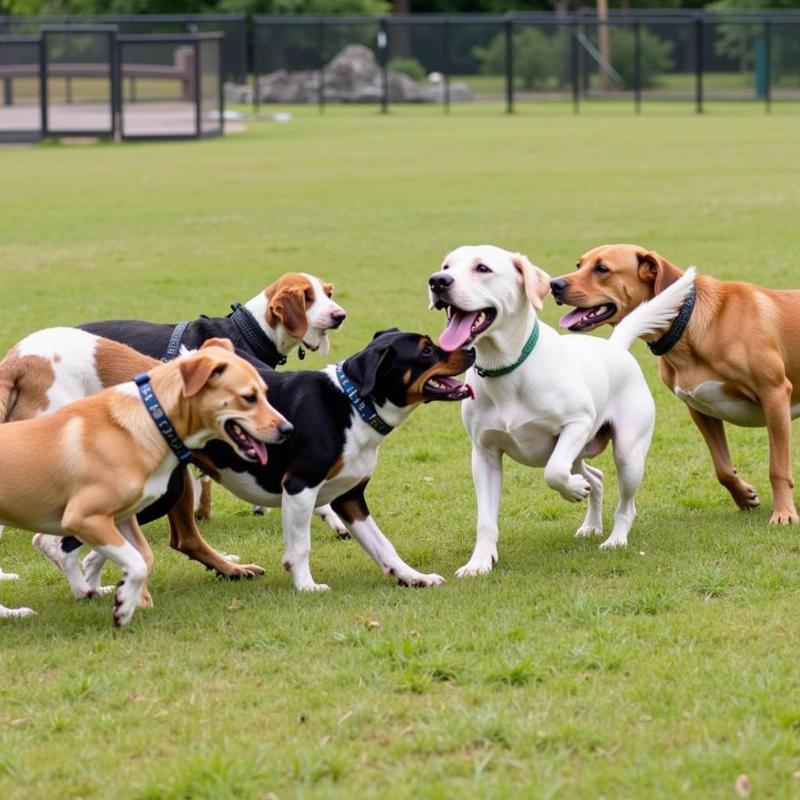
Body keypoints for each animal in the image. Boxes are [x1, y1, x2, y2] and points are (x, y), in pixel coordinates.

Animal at [0, 338, 290, 624]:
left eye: (264, 394)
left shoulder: (122, 514)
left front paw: (129, 595)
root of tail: (17, 362)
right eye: (249, 398)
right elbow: (134, 558)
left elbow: (142, 555)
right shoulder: (85, 514)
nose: (286, 429)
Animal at [432, 245, 692, 576]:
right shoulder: (484, 454)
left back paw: (615, 538)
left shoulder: (577, 423)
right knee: (597, 477)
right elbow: (486, 520)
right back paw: (591, 520)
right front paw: (479, 562)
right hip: (580, 453)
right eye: (446, 266)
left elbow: (553, 472)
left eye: (482, 268)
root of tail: (615, 347)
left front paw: (572, 491)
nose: (438, 282)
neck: (507, 369)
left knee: (625, 504)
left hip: (626, 453)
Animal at [552, 247, 800, 528]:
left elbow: (778, 467)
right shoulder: (700, 409)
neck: (690, 322)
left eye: (602, 269)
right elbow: (723, 469)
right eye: (579, 264)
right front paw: (743, 496)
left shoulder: (774, 394)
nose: (554, 284)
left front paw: (783, 512)